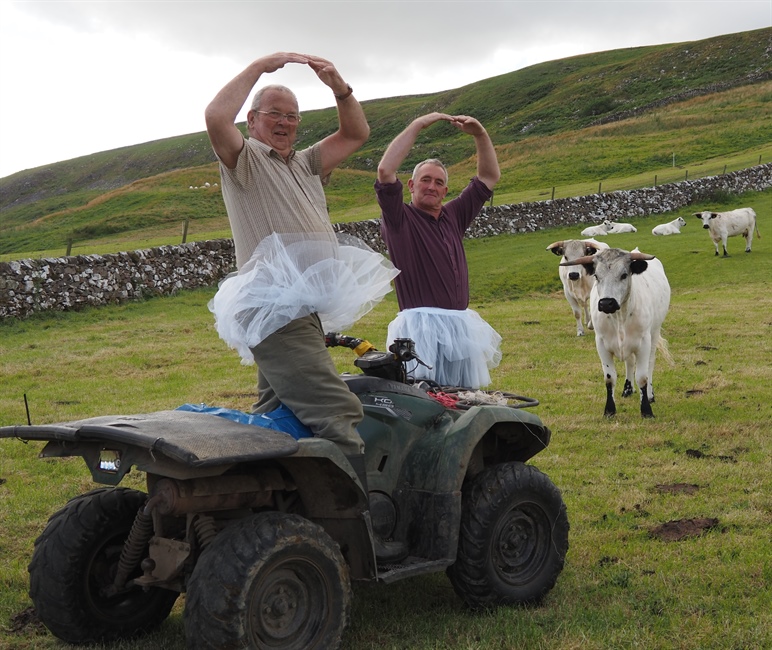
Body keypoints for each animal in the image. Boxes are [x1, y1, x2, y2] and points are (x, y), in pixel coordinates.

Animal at [560, 246, 668, 418]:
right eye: (596, 276)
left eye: (624, 275)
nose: (606, 303)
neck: (619, 317)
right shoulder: (601, 344)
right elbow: (610, 378)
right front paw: (609, 410)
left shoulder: (643, 343)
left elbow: (642, 377)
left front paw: (646, 410)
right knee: (629, 362)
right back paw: (628, 389)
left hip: (654, 333)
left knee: (650, 364)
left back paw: (650, 395)